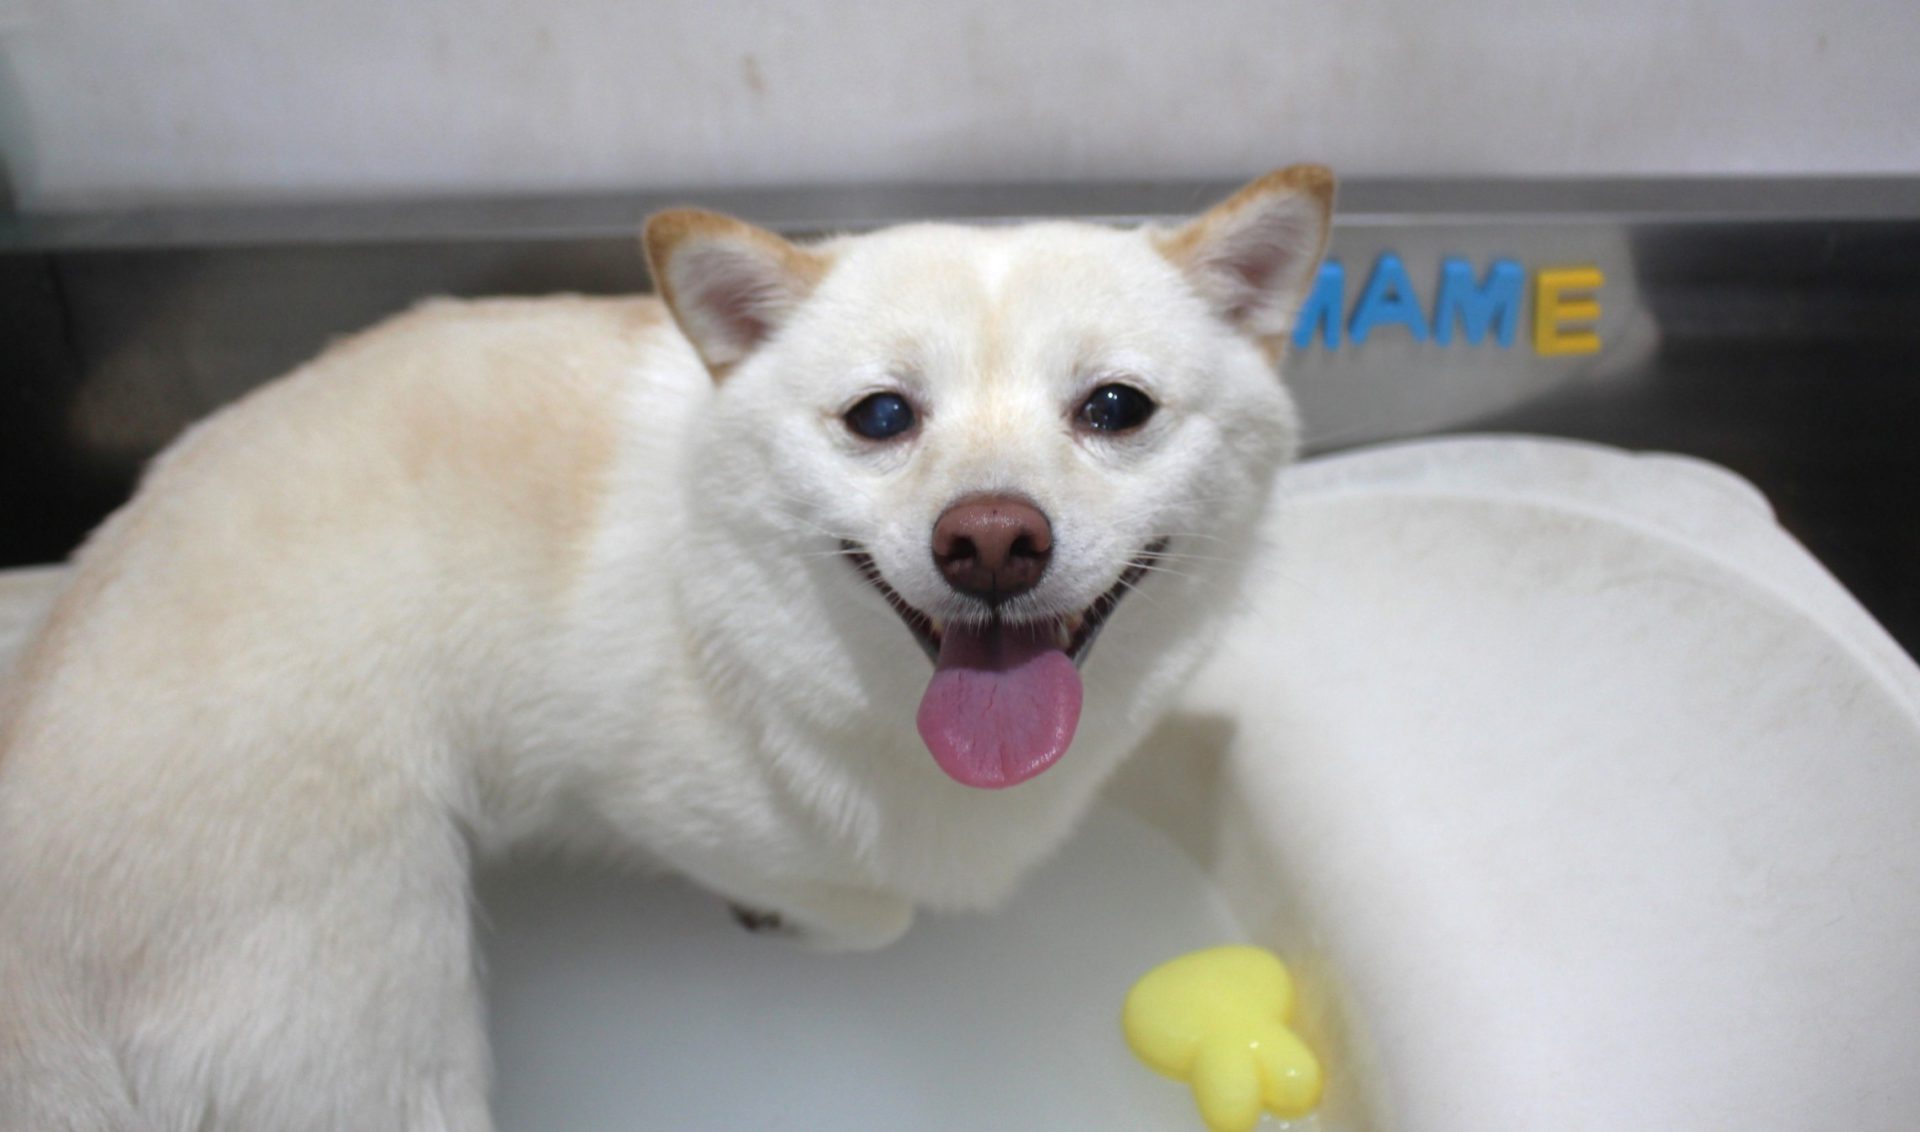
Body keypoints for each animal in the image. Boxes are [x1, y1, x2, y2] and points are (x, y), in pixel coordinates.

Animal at [0, 166, 1333, 1130]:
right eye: (881, 416)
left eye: (1115, 408)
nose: (991, 540)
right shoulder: (639, 794)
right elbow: (873, 911)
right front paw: (772, 918)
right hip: (373, 1027)